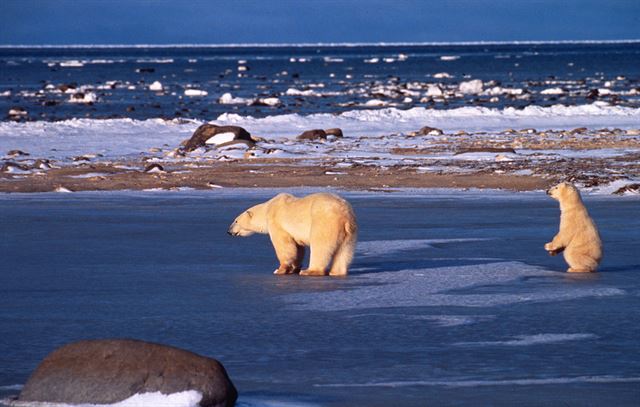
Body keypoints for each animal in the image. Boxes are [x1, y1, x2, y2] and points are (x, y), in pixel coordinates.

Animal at [228, 194, 358, 278]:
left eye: (236, 221)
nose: (228, 231)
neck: (267, 208)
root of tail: (344, 216)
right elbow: (298, 248)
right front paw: (295, 268)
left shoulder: (276, 222)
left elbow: (284, 246)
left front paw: (280, 269)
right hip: (350, 232)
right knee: (345, 250)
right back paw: (336, 272)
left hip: (324, 223)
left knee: (320, 247)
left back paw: (310, 271)